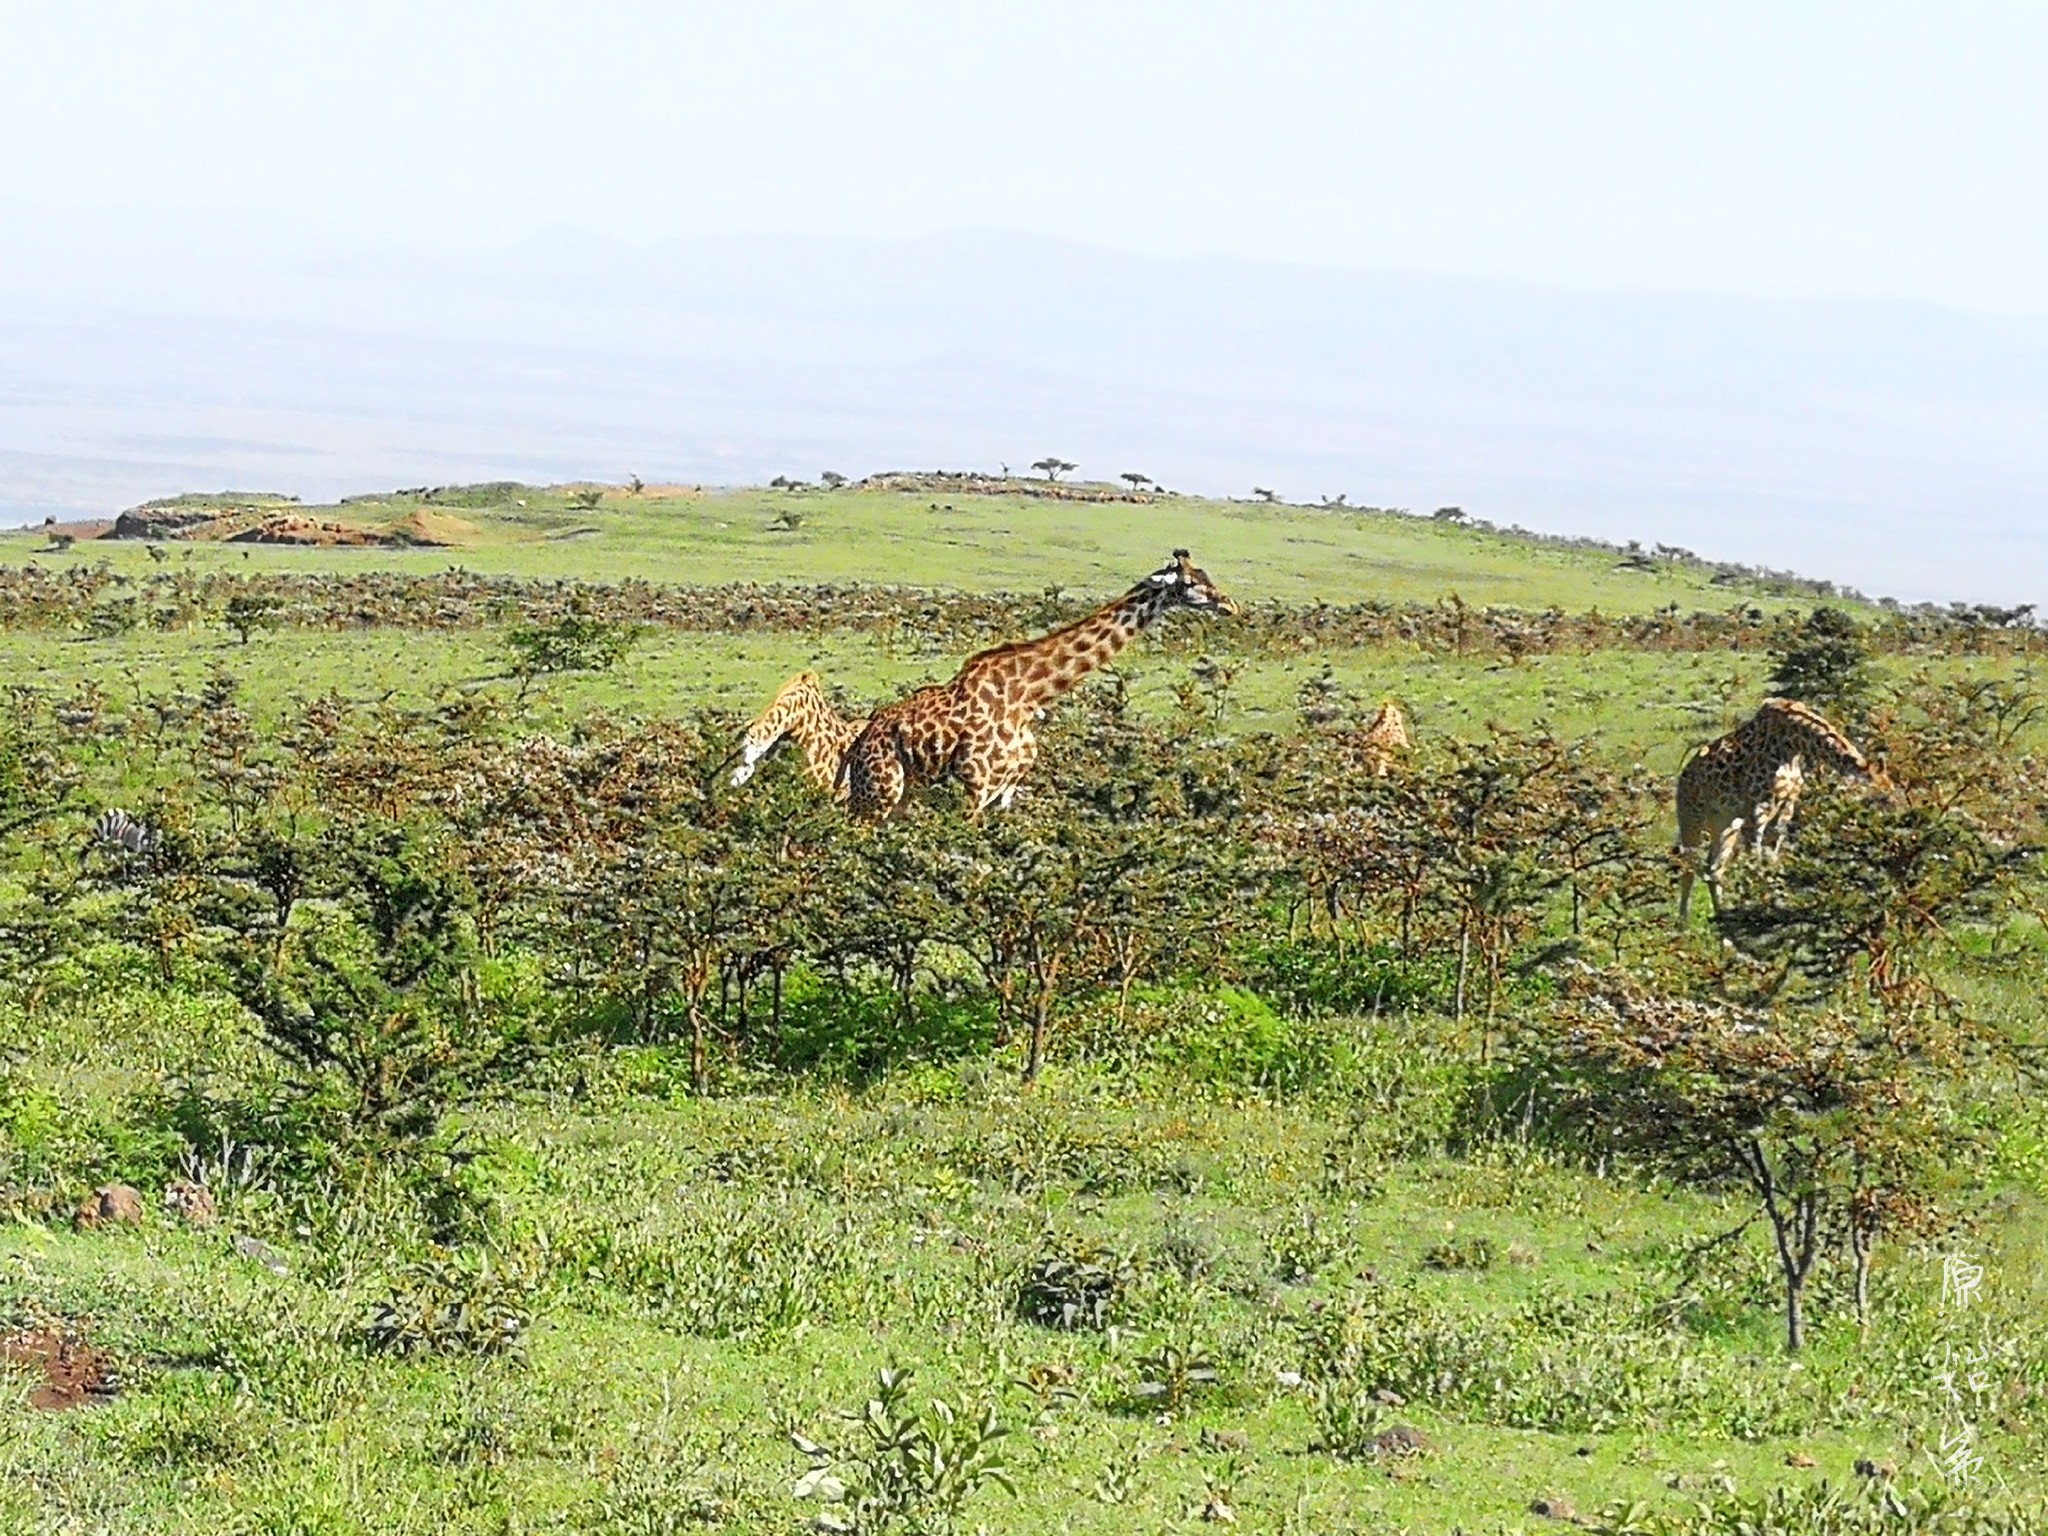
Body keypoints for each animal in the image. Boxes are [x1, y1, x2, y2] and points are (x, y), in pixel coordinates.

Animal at [839, 548, 1236, 823]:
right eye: (1191, 584)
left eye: (1207, 575)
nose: (1230, 605)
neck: (1028, 693)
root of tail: (859, 742)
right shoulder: (975, 784)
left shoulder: (1005, 789)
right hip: (879, 789)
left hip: (901, 793)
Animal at [1671, 700, 1875, 925]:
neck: (1794, 744)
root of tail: (1682, 779)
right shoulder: (1757, 808)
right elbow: (1756, 859)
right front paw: (1756, 900)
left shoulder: (1786, 806)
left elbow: (1771, 857)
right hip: (1691, 817)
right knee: (1688, 866)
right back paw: (1683, 923)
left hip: (1725, 823)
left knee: (1713, 867)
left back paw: (1722, 917)